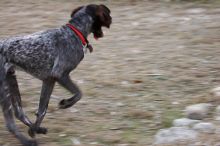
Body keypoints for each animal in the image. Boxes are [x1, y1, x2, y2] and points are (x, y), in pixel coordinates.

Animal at [0, 4, 111, 145]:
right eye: (108, 14)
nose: (111, 19)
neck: (75, 32)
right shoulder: (60, 75)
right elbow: (79, 93)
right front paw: (66, 104)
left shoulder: (49, 80)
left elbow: (42, 110)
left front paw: (34, 129)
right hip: (4, 89)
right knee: (10, 123)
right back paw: (27, 141)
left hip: (11, 81)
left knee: (19, 113)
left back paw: (38, 130)